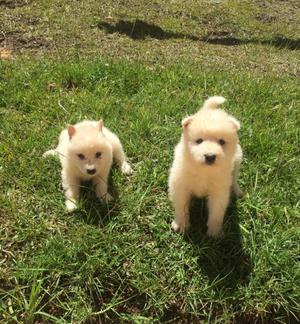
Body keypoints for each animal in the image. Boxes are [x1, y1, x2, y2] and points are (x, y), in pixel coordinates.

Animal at [168, 95, 243, 235]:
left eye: (221, 142)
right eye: (199, 141)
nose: (210, 156)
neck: (204, 171)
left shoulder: (219, 192)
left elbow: (216, 213)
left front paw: (214, 232)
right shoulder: (179, 186)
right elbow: (181, 207)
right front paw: (181, 225)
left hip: (237, 159)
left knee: (234, 178)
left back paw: (237, 191)